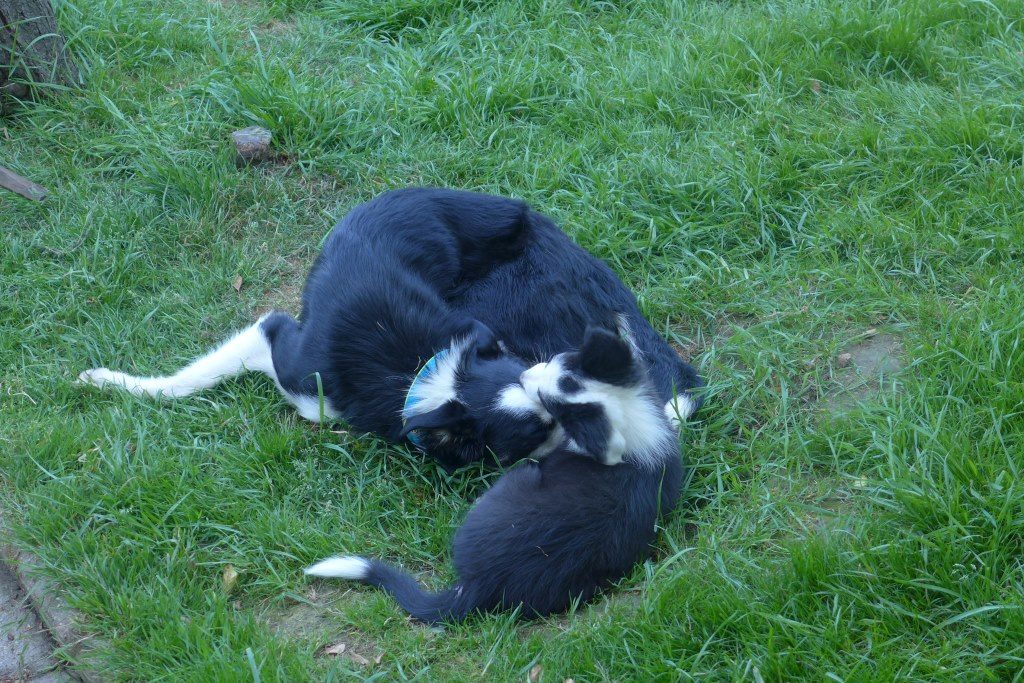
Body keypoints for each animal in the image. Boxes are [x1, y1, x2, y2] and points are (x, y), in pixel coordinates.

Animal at [79, 188, 703, 470]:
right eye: (539, 430)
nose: (620, 452)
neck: (420, 368)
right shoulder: (283, 346)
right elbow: (186, 379)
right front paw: (116, 383)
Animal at [305, 326, 683, 622]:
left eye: (548, 400)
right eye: (557, 361)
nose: (525, 373)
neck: (635, 427)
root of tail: (477, 586)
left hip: (515, 481)